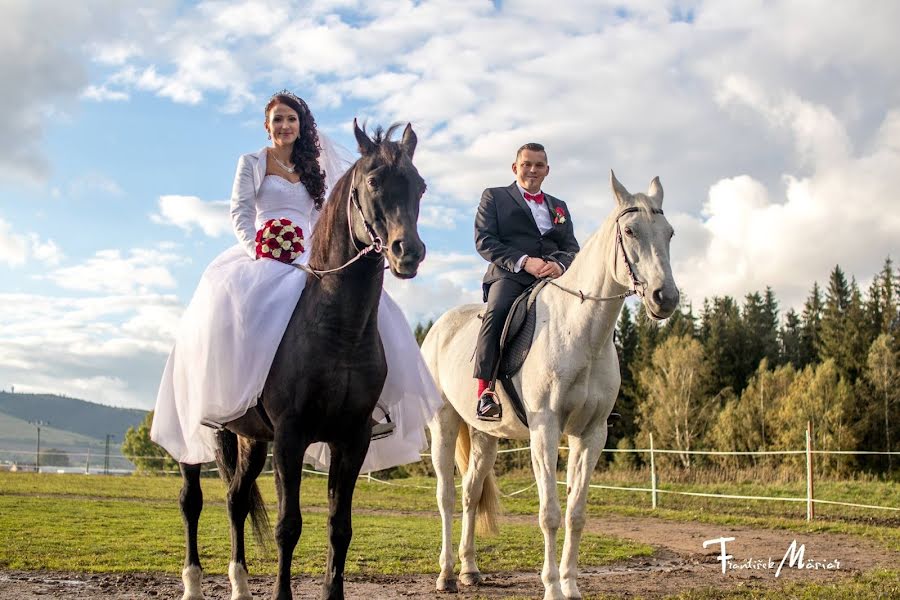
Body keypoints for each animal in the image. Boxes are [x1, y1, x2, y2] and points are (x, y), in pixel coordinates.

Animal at [179, 122, 426, 600]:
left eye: (420, 186)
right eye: (373, 181)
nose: (408, 252)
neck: (338, 330)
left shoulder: (352, 439)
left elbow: (339, 527)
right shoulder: (291, 438)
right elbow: (287, 527)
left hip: (251, 439)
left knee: (235, 499)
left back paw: (239, 585)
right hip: (194, 437)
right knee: (192, 501)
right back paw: (193, 584)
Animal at [426, 172, 680, 600]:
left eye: (670, 234)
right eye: (630, 230)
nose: (666, 298)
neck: (581, 332)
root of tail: (438, 327)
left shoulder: (591, 433)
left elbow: (576, 513)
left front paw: (571, 587)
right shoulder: (545, 430)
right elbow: (550, 514)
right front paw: (551, 588)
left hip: (485, 435)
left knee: (470, 493)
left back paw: (470, 570)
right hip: (443, 424)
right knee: (446, 495)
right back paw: (446, 575)